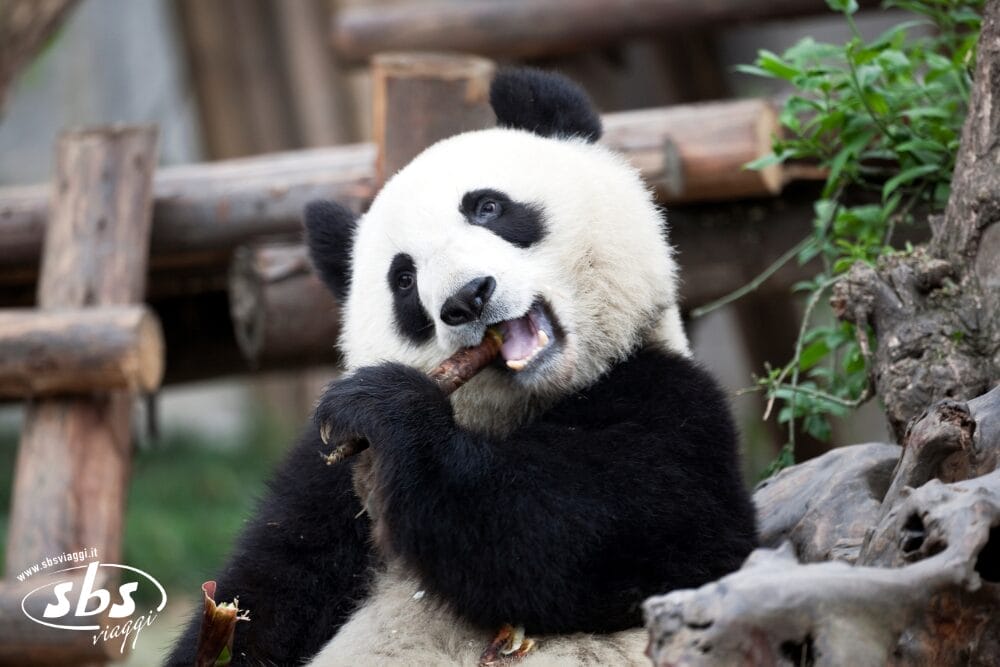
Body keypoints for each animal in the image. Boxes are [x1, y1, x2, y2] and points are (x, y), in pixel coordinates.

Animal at [166, 68, 757, 666]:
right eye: (404, 278)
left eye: (488, 207)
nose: (467, 299)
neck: (523, 407)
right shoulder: (328, 476)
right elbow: (268, 587)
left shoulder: (670, 403)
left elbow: (594, 534)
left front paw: (391, 409)